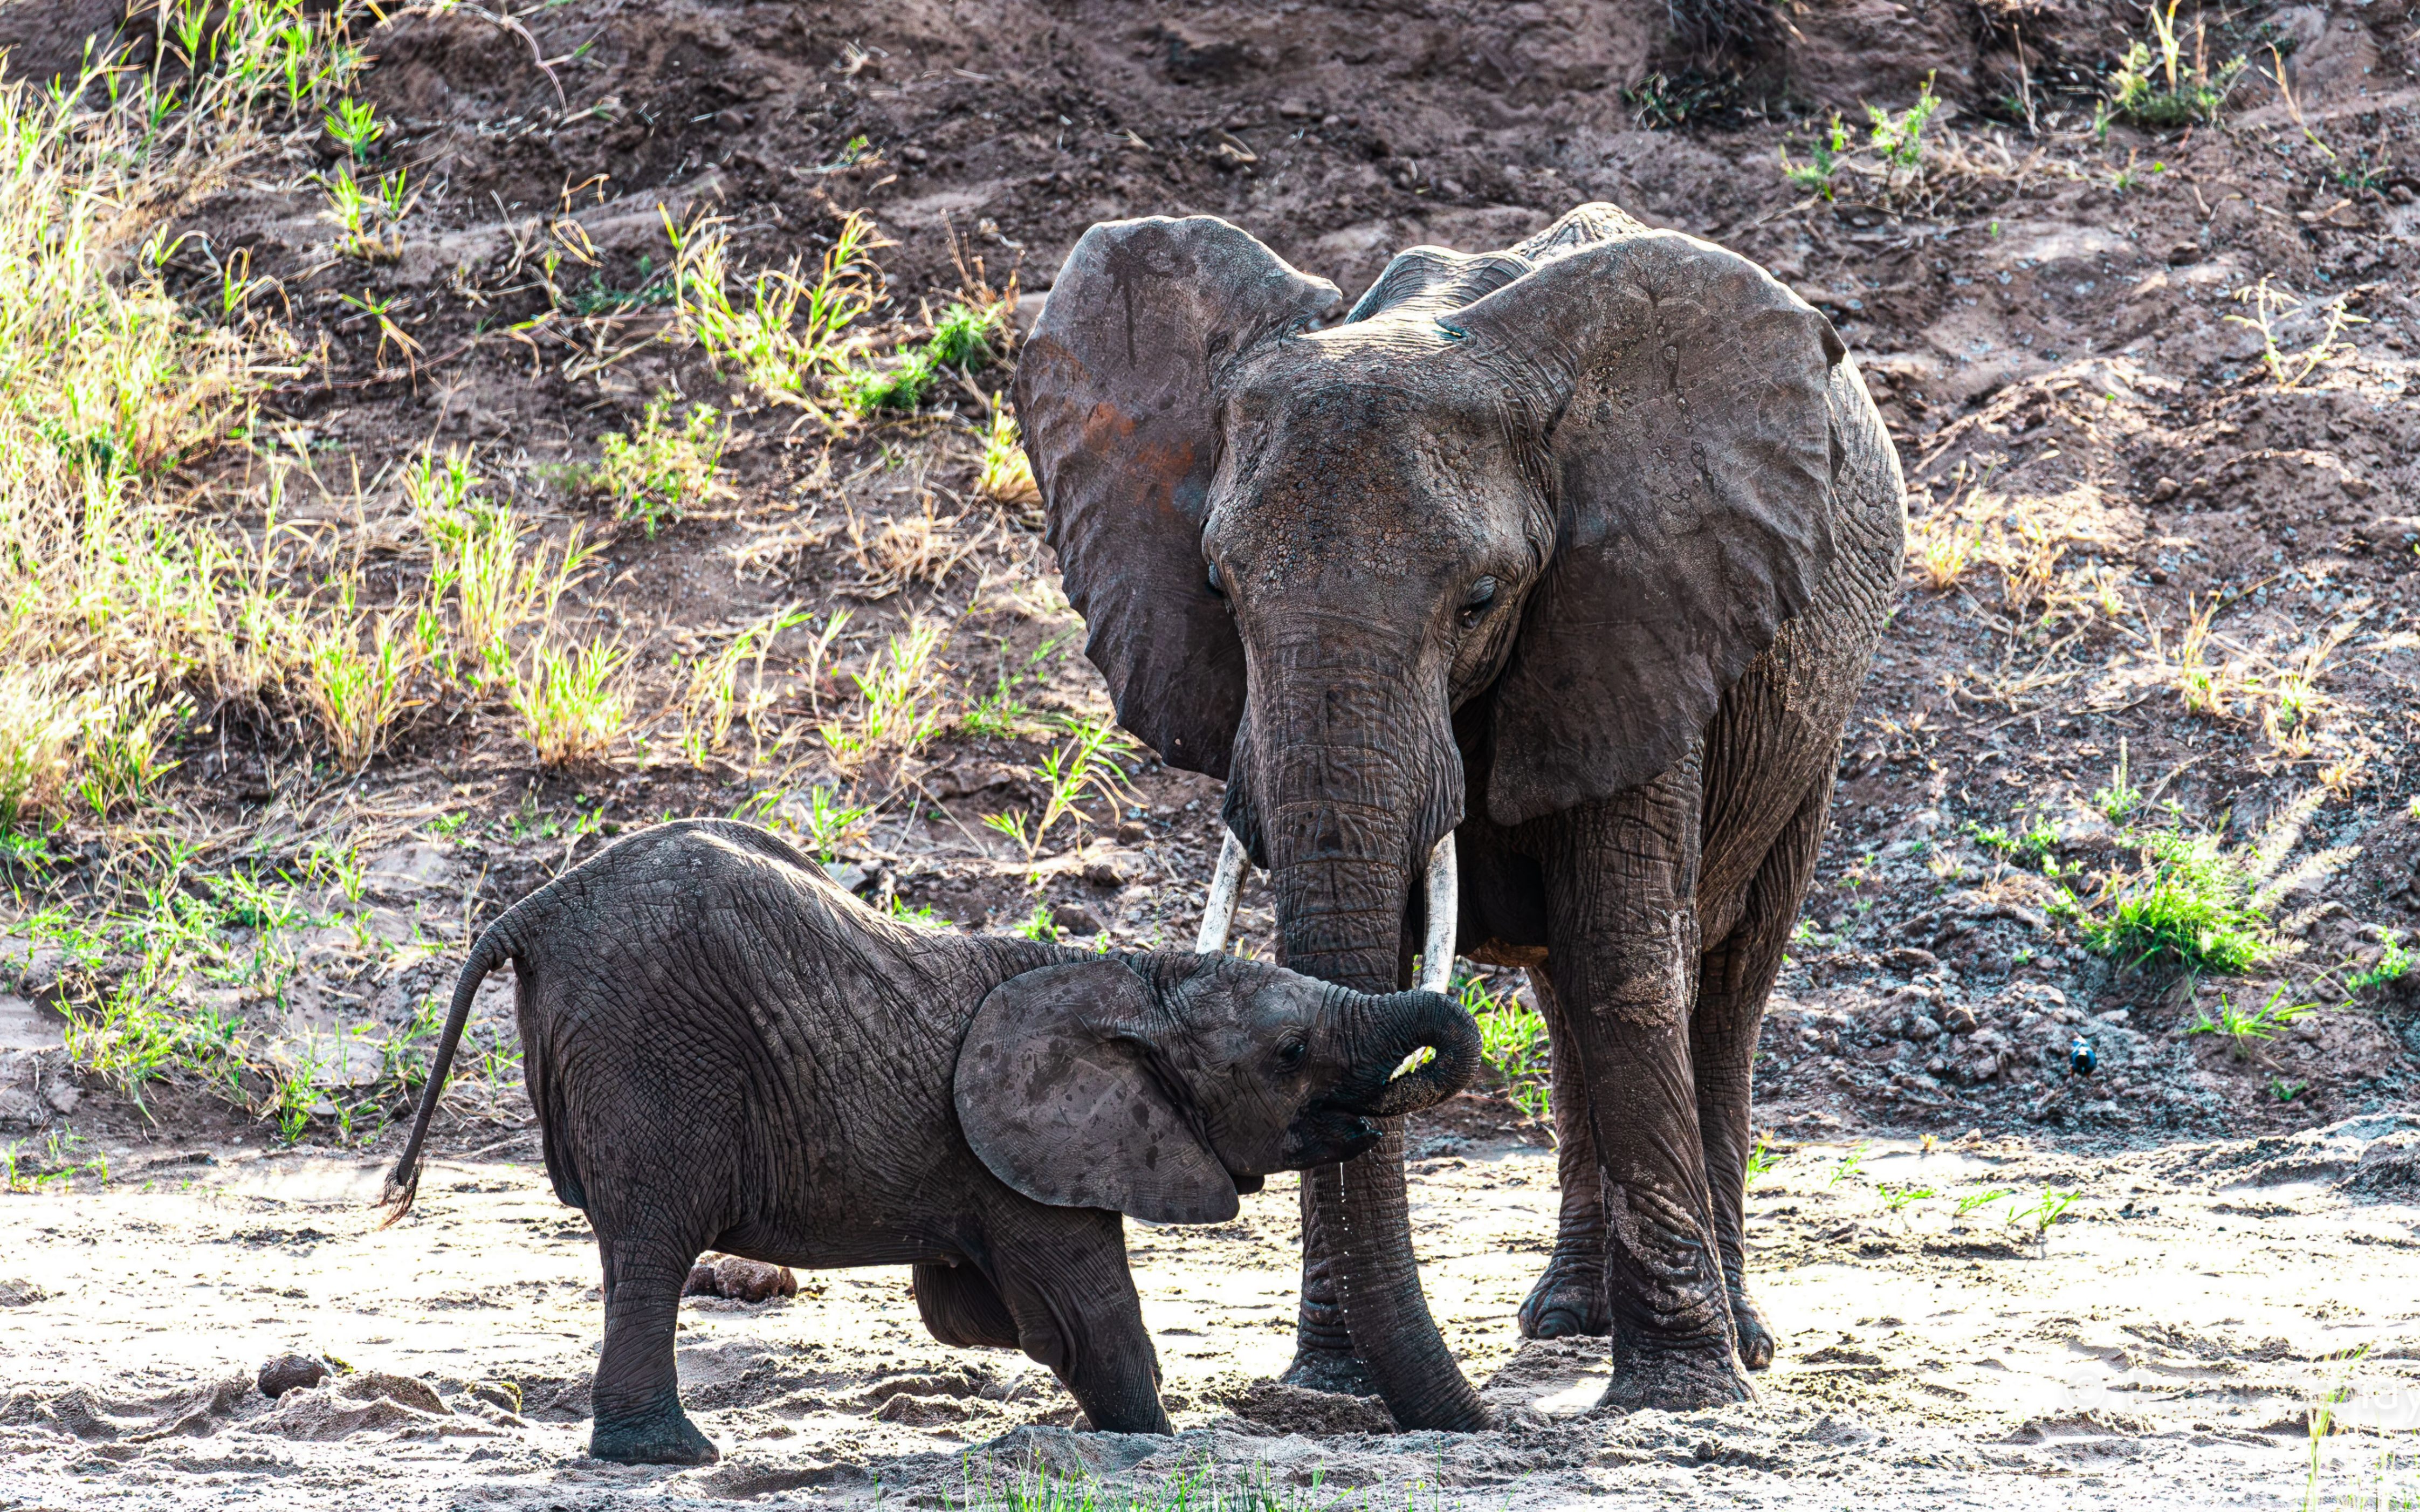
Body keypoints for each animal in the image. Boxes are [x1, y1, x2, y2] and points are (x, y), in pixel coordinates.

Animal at [378, 818, 1480, 1464]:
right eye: (1291, 1052)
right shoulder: (1031, 1172)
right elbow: (1088, 1311)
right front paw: (1156, 1439)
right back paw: (671, 1456)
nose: (1378, 1106)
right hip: (656, 1054)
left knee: (627, 1254)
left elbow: (977, 1314)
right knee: (654, 1244)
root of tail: (533, 907)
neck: (1132, 977)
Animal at [1014, 202, 1905, 1426]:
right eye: (1215, 589)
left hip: (1809, 715)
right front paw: (1329, 1388)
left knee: (1722, 982)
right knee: (1566, 994)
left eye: (1480, 600)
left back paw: (1736, 1340)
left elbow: (1628, 959)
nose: (1476, 1415)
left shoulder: (1643, 614)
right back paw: (1566, 1319)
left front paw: (1680, 1400)